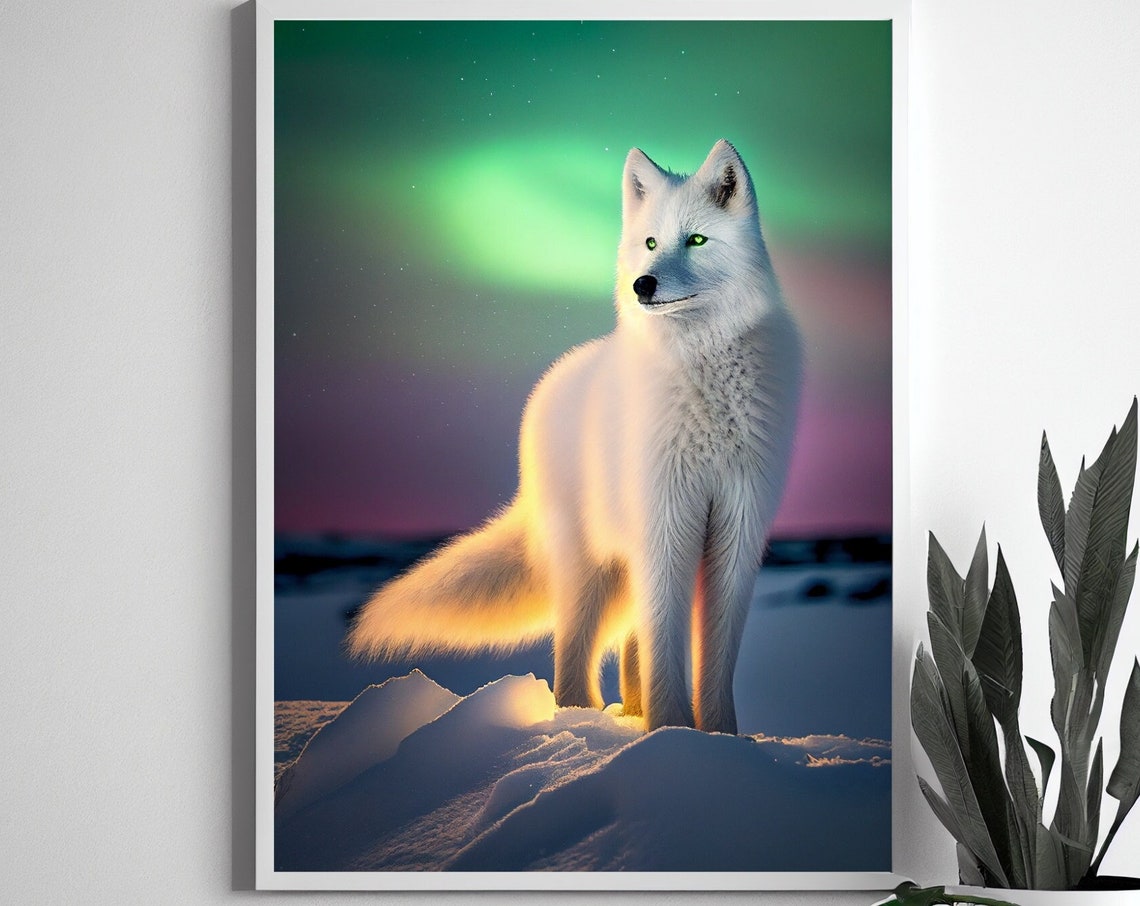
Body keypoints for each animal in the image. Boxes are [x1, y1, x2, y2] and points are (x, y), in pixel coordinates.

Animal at [347, 139, 801, 734]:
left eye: (696, 240)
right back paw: (581, 721)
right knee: (574, 655)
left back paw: (630, 714)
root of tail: (548, 386)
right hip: (591, 575)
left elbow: (715, 656)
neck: (705, 379)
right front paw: (674, 731)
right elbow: (666, 645)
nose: (642, 285)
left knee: (629, 648)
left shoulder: (738, 526)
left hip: (626, 569)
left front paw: (719, 738)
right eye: (650, 242)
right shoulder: (668, 523)